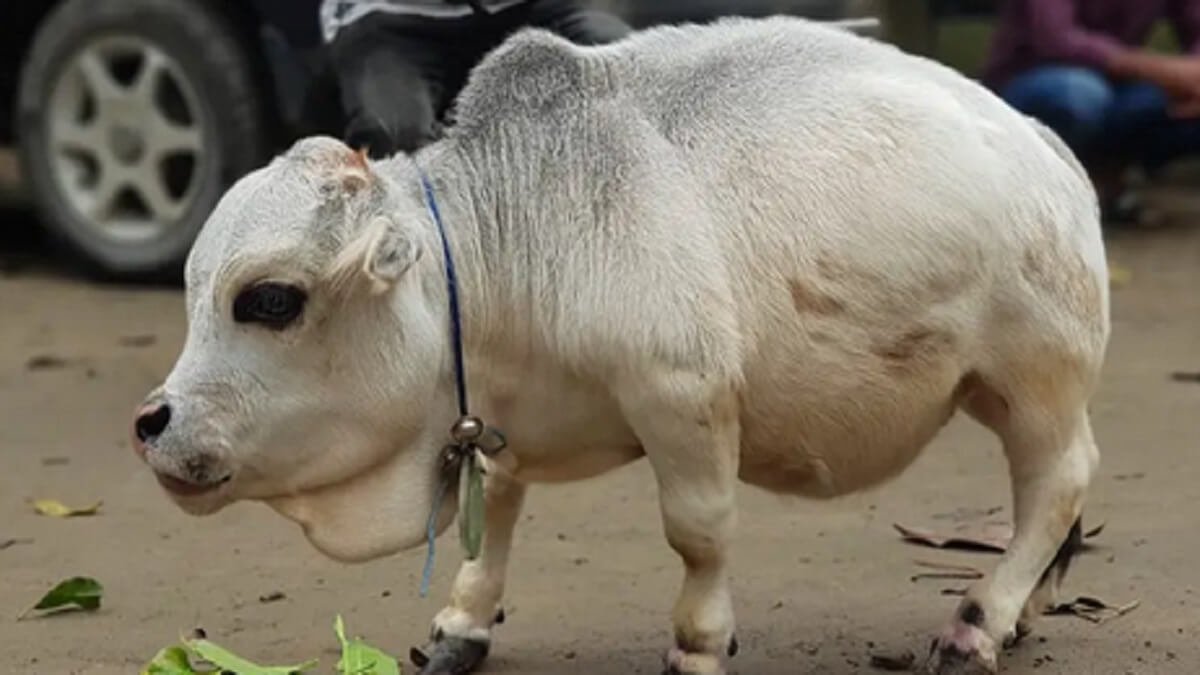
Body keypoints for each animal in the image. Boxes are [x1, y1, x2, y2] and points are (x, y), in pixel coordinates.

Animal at [129, 15, 1109, 675]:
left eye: (268, 300)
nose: (151, 423)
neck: (505, 247)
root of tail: (1045, 146)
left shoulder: (683, 396)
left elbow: (699, 532)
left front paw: (699, 641)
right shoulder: (500, 419)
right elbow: (499, 514)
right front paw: (463, 622)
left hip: (1037, 377)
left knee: (1058, 480)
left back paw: (982, 617)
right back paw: (1026, 604)